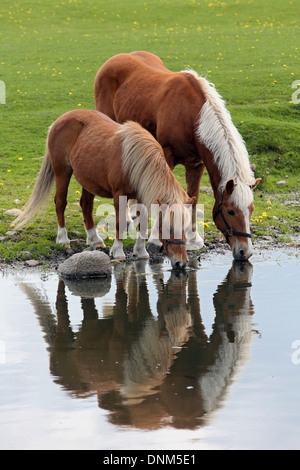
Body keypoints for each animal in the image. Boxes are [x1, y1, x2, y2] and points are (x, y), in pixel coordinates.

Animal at [14, 109, 193, 268]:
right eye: (168, 228)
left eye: (185, 228)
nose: (181, 263)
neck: (136, 162)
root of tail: (61, 119)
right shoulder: (119, 196)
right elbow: (120, 223)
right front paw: (118, 252)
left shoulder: (141, 196)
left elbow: (142, 223)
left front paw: (141, 251)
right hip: (62, 172)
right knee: (60, 203)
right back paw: (63, 239)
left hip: (88, 180)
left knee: (86, 205)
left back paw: (95, 239)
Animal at [94, 51, 260, 260]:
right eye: (230, 211)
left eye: (251, 210)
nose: (245, 251)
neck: (192, 115)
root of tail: (116, 58)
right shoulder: (167, 157)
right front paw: (155, 240)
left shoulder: (197, 164)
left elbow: (193, 198)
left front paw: (193, 237)